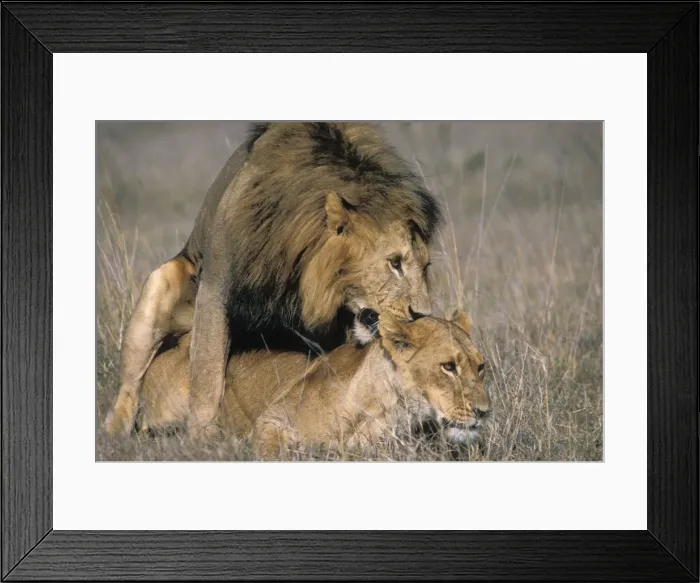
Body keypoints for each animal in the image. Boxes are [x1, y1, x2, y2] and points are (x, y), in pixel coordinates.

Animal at [104, 122, 444, 438]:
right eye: (395, 262)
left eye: (426, 265)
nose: (423, 314)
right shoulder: (216, 289)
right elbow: (206, 374)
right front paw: (203, 438)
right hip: (161, 284)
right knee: (130, 387)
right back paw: (116, 430)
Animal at [137, 309, 490, 459]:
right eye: (448, 367)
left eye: (481, 367)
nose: (485, 412)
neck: (387, 409)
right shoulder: (272, 418)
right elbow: (272, 452)